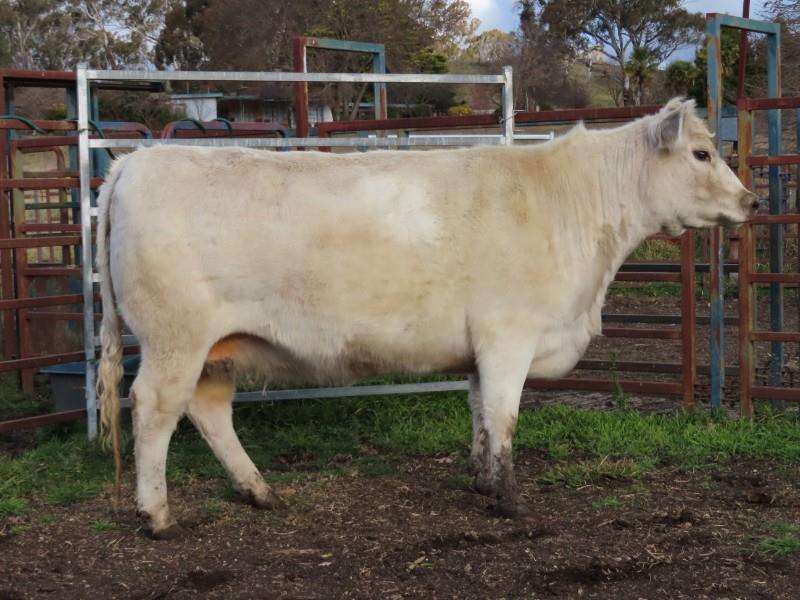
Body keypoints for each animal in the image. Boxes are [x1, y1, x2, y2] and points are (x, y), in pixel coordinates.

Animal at [96, 98, 758, 538]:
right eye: (701, 152)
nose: (751, 201)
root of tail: (138, 160)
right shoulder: (509, 336)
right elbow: (505, 416)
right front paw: (510, 501)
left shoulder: (480, 349)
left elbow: (480, 414)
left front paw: (482, 481)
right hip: (174, 337)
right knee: (154, 408)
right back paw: (157, 514)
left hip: (216, 348)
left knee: (208, 411)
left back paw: (260, 491)